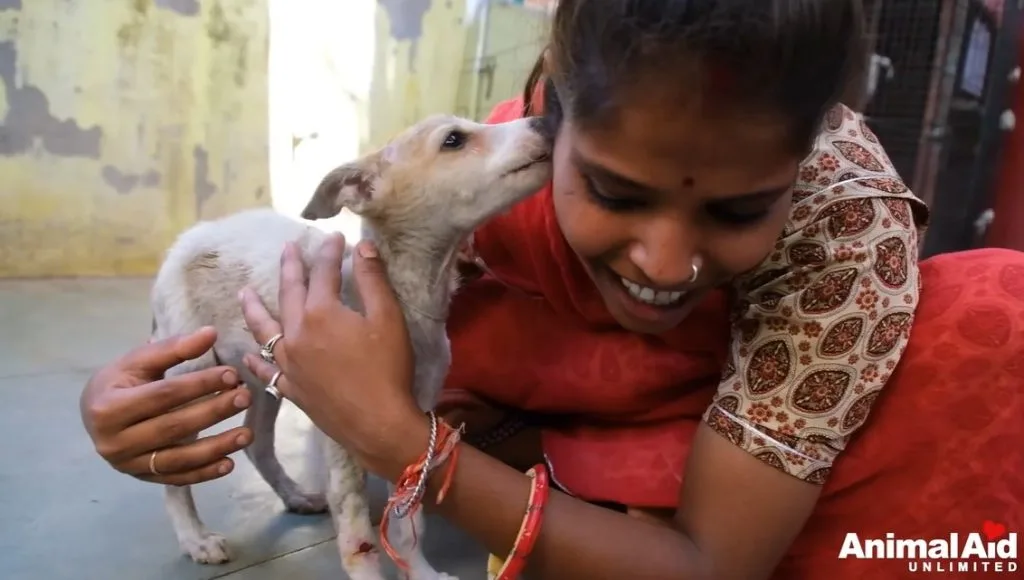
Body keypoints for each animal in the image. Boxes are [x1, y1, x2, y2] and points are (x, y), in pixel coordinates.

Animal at [149, 113, 552, 579]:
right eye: (453, 140)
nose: (546, 119)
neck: (403, 298)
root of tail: (187, 240)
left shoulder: (411, 420)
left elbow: (407, 519)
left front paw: (420, 571)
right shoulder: (342, 431)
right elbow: (358, 532)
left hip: (262, 375)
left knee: (257, 442)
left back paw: (293, 495)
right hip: (191, 373)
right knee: (172, 464)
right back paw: (194, 536)